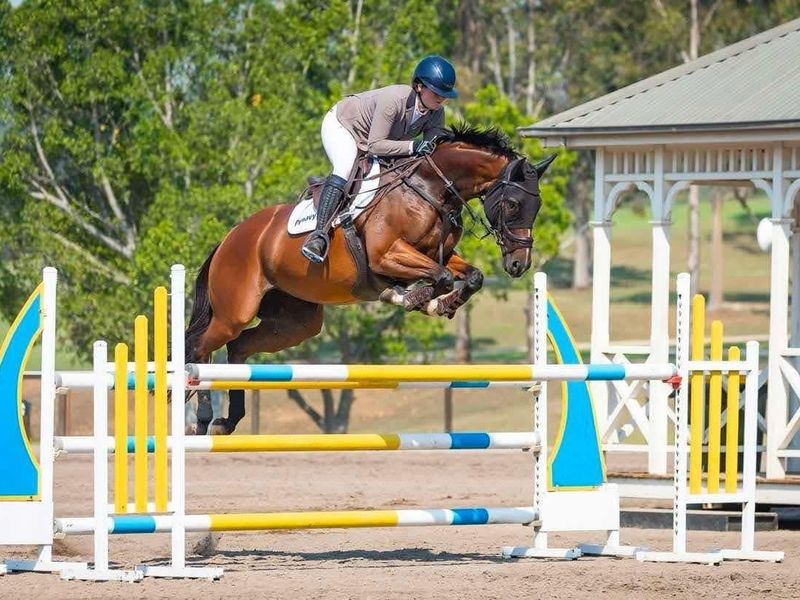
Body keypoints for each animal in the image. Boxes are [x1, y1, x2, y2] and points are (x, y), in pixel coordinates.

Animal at [184, 124, 554, 435]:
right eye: (512, 204)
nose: (519, 264)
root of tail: (229, 238)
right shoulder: (386, 255)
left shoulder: (441, 253)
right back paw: (201, 421)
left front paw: (440, 304)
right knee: (201, 349)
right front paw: (412, 298)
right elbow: (442, 276)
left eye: (535, 208)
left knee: (239, 346)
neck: (429, 190)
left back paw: (227, 421)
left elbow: (470, 276)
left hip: (296, 323)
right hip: (235, 311)